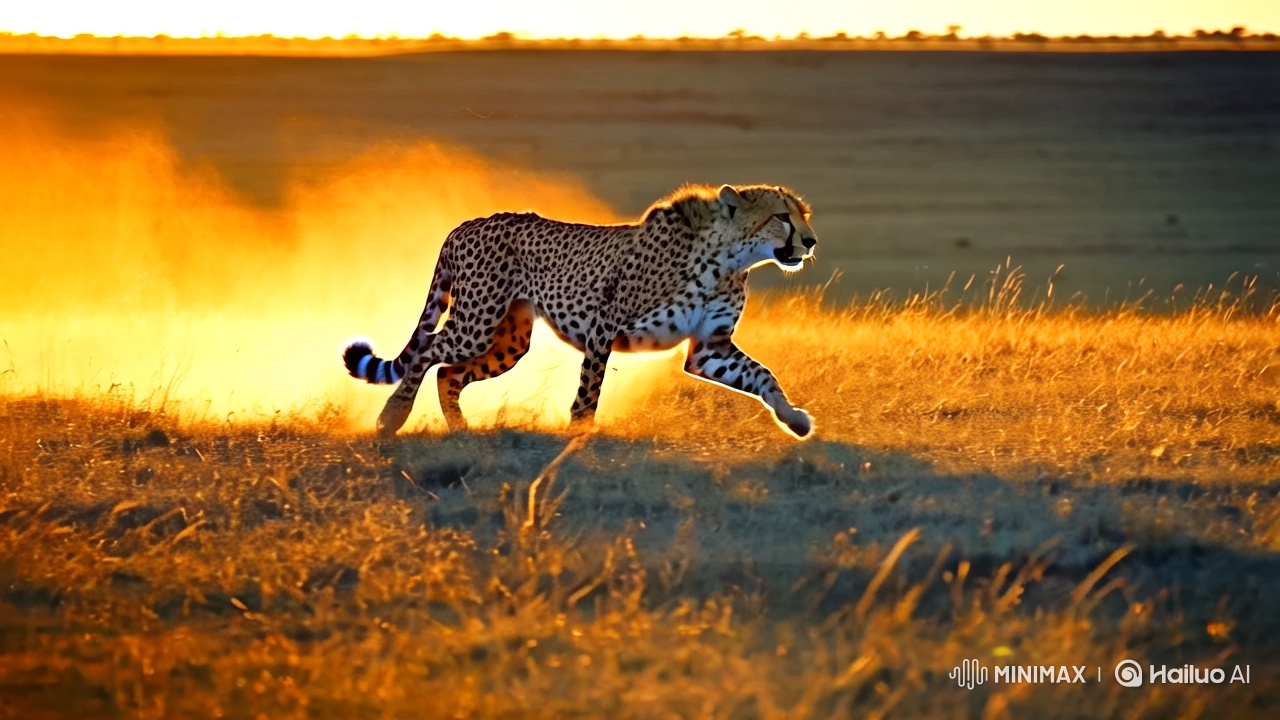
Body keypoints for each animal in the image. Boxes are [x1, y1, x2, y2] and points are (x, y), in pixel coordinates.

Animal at [342, 183, 819, 439]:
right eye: (782, 216)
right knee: (428, 350)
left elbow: (763, 375)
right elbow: (590, 391)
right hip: (476, 322)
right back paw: (391, 417)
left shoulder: (708, 348)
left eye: (804, 215)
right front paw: (580, 437)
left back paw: (461, 432)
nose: (811, 241)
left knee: (447, 373)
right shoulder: (603, 327)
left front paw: (794, 420)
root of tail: (467, 223)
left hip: (510, 340)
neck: (728, 260)